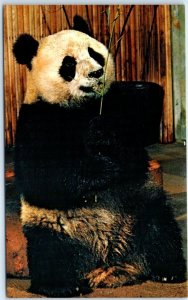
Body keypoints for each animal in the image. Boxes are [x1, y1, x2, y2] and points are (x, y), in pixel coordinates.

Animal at [12, 19, 185, 298]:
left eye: (95, 54)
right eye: (69, 64)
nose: (96, 73)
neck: (82, 107)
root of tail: (109, 263)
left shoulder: (116, 103)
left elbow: (134, 149)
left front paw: (103, 135)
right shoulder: (37, 118)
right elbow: (41, 176)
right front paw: (98, 161)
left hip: (138, 206)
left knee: (160, 229)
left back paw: (168, 270)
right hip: (52, 225)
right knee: (49, 252)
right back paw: (64, 285)